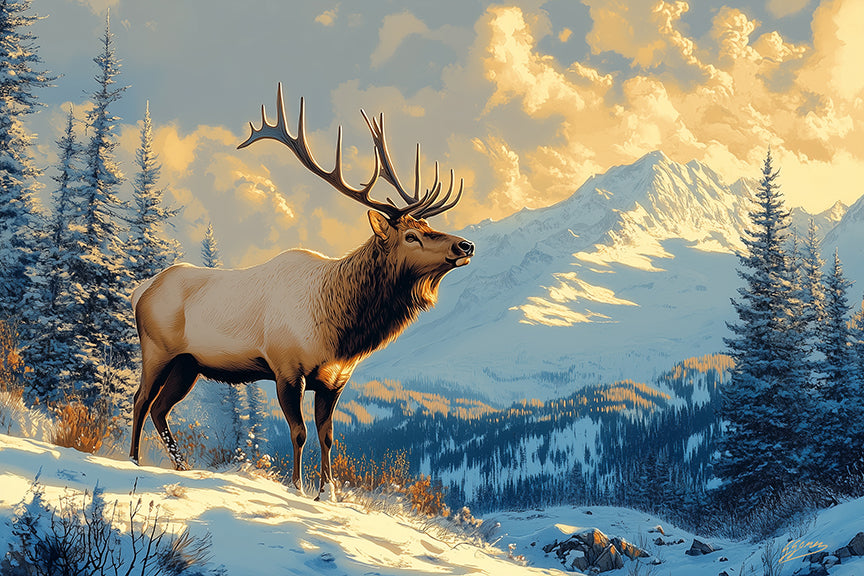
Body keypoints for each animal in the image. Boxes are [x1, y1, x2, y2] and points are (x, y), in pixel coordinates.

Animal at [128, 84, 474, 501]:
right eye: (411, 235)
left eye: (427, 226)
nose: (466, 245)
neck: (339, 328)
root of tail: (141, 290)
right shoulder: (285, 367)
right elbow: (299, 432)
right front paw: (297, 487)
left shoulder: (334, 379)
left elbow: (327, 436)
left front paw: (329, 492)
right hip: (157, 348)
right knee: (140, 399)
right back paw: (132, 460)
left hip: (188, 363)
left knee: (161, 408)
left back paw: (180, 466)